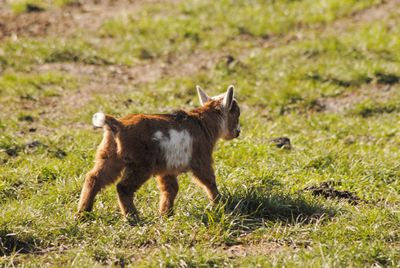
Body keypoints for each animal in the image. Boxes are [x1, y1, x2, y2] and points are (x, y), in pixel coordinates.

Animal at [77, 85, 241, 219]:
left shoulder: (167, 168)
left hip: (109, 156)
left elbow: (170, 188)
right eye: (236, 113)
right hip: (141, 164)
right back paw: (133, 217)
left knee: (94, 178)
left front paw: (165, 214)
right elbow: (209, 181)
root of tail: (117, 124)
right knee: (123, 187)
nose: (238, 132)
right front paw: (220, 203)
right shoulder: (201, 159)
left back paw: (83, 214)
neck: (203, 122)